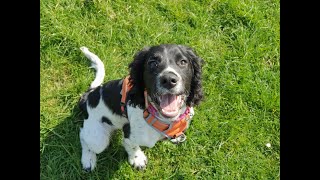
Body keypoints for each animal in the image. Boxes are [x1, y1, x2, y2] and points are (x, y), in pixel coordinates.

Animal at [77, 44, 205, 171]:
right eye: (152, 63)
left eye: (183, 62)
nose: (169, 80)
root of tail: (88, 96)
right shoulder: (129, 133)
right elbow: (131, 145)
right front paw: (137, 159)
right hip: (98, 139)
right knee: (83, 136)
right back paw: (88, 159)